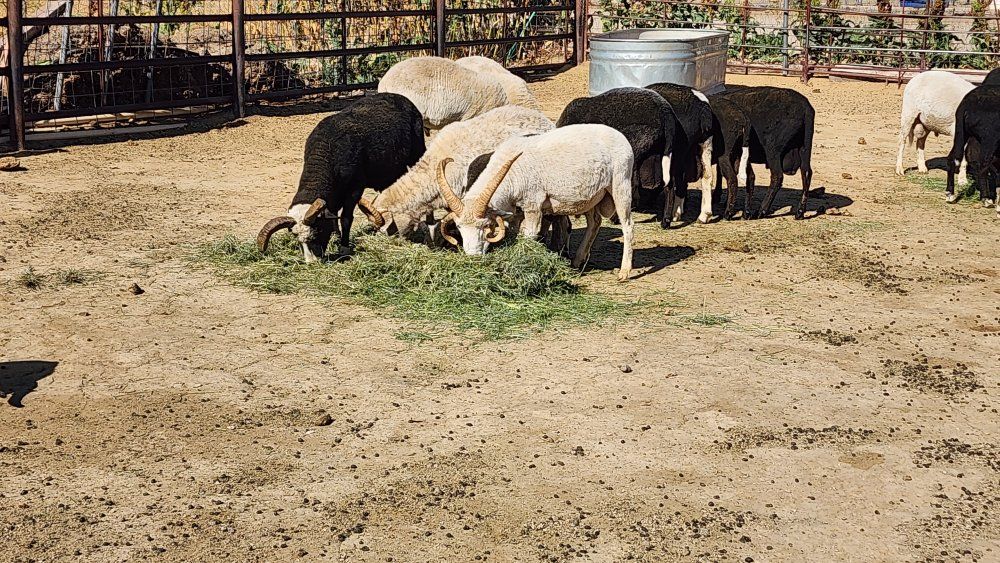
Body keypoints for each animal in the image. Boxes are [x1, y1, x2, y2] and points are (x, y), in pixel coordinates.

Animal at [256, 93, 425, 261]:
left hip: (417, 152)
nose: (312, 263)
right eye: (296, 238)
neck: (327, 153)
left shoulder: (355, 189)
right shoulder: (334, 194)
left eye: (317, 231)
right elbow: (334, 217)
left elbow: (345, 218)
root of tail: (400, 97)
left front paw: (344, 247)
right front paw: (336, 239)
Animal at [435, 124, 635, 281]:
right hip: (592, 197)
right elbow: (514, 234)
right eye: (459, 227)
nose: (473, 257)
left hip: (621, 184)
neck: (511, 173)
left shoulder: (533, 205)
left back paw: (624, 272)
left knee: (628, 226)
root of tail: (620, 136)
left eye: (485, 225)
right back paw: (577, 262)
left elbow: (529, 235)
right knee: (594, 222)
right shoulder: (516, 212)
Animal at [645, 82, 715, 227]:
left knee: (675, 182)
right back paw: (704, 215)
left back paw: (671, 216)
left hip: (677, 152)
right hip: (704, 144)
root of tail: (702, 105)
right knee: (707, 176)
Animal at [715, 86, 815, 220]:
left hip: (772, 150)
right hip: (805, 147)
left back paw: (762, 210)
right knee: (806, 173)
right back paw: (800, 212)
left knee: (777, 176)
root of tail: (806, 107)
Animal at [947, 85, 1000, 214]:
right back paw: (986, 199)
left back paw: (950, 194)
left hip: (962, 134)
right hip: (989, 140)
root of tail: (968, 101)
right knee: (983, 166)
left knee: (952, 158)